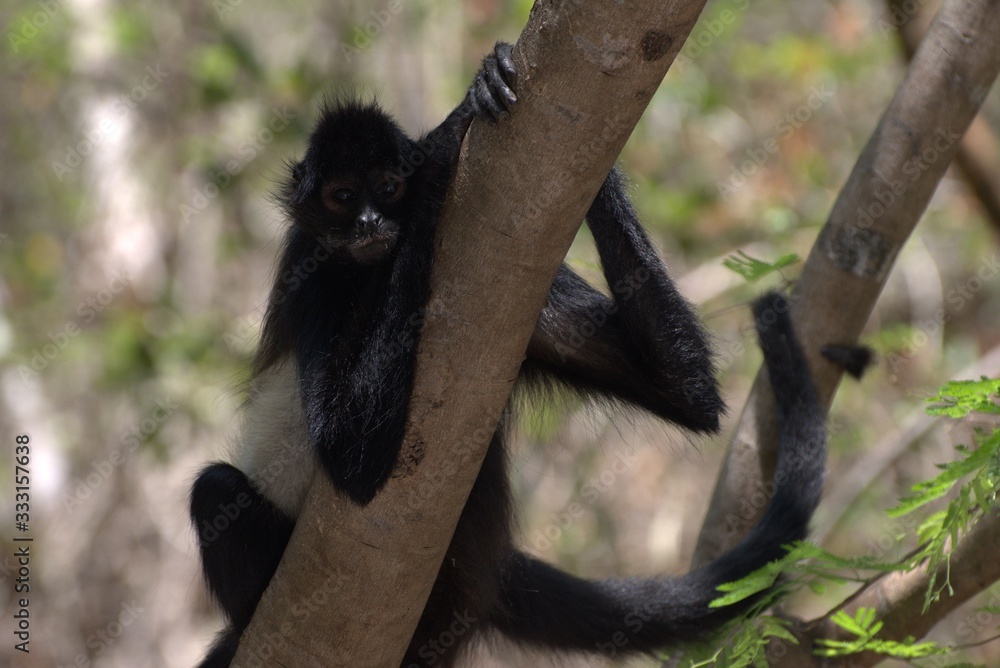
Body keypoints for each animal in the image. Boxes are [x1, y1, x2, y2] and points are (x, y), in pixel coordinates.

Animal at [190, 42, 827, 667]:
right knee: (214, 489)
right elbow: (351, 462)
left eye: (388, 187)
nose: (370, 221)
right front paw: (443, 148)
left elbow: (687, 394)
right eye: (344, 197)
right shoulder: (317, 276)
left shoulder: (534, 301)